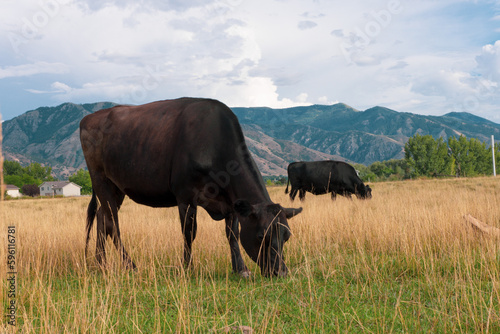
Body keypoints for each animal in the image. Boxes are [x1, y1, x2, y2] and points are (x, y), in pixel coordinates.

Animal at [80, 98, 302, 278]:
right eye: (261, 236)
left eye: (287, 236)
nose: (281, 272)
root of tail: (90, 117)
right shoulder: (185, 196)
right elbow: (189, 232)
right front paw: (187, 268)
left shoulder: (231, 203)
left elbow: (232, 234)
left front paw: (240, 269)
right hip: (100, 179)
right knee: (113, 224)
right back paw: (129, 265)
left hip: (116, 187)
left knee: (102, 217)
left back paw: (101, 264)